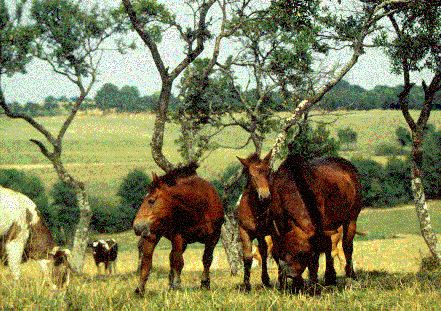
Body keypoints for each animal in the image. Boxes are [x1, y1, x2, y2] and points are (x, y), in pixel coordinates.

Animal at [131, 163, 223, 294]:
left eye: (151, 201)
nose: (137, 226)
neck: (199, 207)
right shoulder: (179, 237)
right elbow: (178, 261)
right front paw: (176, 285)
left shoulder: (214, 237)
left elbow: (207, 259)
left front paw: (205, 284)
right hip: (152, 235)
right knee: (147, 261)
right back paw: (141, 288)